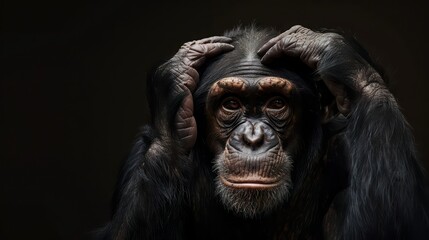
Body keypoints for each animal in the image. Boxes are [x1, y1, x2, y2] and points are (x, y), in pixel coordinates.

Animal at [97, 25, 428, 239]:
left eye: (276, 103)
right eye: (231, 103)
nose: (253, 137)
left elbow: (394, 223)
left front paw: (334, 53)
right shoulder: (138, 153)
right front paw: (174, 81)